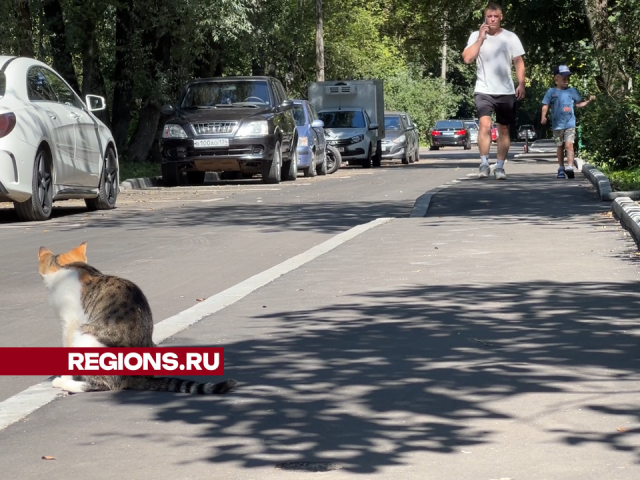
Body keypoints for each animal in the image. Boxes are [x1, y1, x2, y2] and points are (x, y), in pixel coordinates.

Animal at [37, 242, 238, 396]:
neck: (74, 268)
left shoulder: (69, 324)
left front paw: (65, 376)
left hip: (86, 338)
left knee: (105, 385)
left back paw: (65, 384)